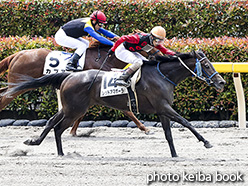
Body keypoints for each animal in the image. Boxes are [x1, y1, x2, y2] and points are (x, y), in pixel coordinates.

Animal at [0, 42, 161, 135]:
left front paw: (72, 130)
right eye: (151, 46)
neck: (105, 59)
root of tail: (17, 54)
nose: (160, 55)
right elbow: (127, 111)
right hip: (18, 85)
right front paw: (145, 128)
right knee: (4, 99)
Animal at [5, 49, 227, 157]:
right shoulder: (164, 107)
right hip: (74, 110)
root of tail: (69, 75)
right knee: (58, 127)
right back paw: (59, 153)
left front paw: (174, 155)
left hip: (70, 108)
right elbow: (186, 122)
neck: (162, 75)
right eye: (207, 65)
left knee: (52, 122)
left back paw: (43, 145)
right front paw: (206, 142)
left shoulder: (162, 110)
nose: (222, 82)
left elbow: (169, 134)